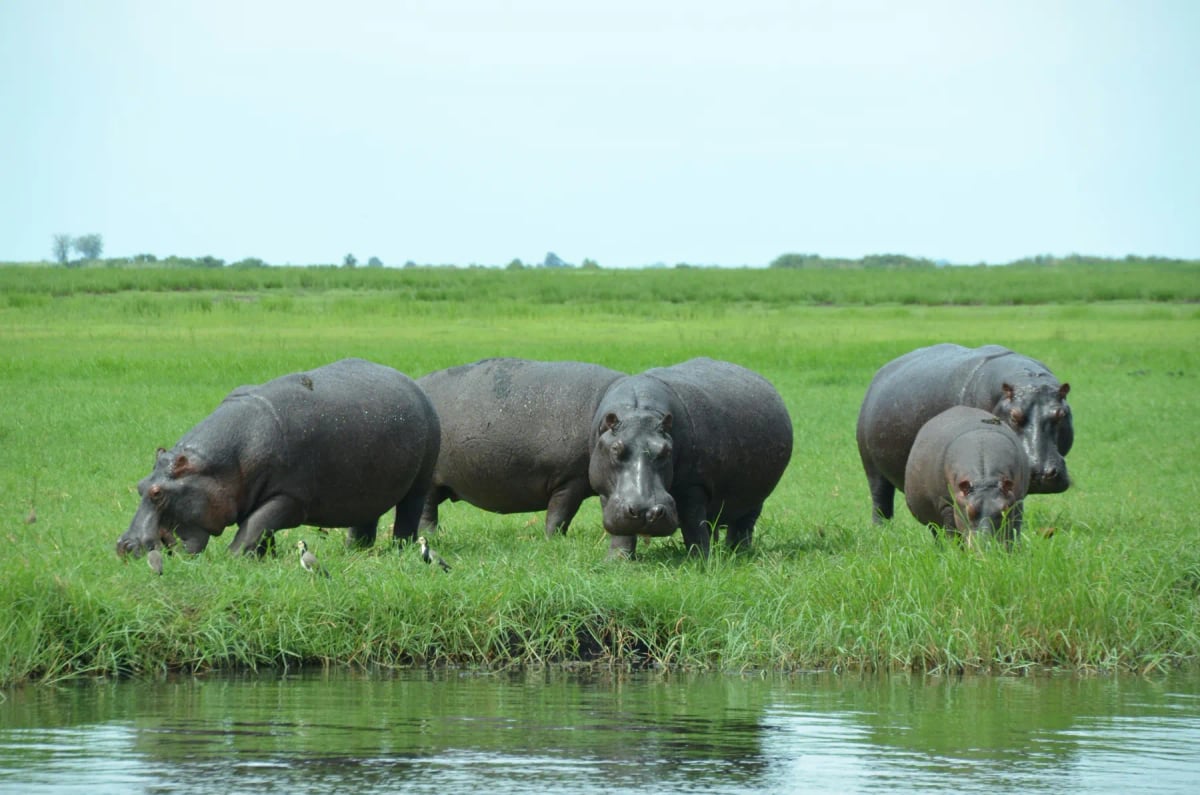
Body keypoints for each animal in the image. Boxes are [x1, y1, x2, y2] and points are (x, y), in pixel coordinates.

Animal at [115, 358, 441, 559]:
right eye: (140, 485)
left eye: (157, 493)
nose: (123, 546)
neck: (214, 466)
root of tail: (415, 386)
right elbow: (262, 530)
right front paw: (263, 558)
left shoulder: (290, 497)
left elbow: (254, 526)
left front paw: (232, 558)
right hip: (368, 486)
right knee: (364, 520)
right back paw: (353, 551)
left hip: (418, 485)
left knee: (407, 515)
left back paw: (399, 549)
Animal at [417, 358, 625, 537]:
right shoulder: (571, 480)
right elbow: (559, 515)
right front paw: (553, 540)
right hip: (431, 482)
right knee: (426, 512)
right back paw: (430, 535)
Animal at [588, 357, 793, 559]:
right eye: (615, 448)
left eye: (666, 450)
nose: (647, 511)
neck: (639, 412)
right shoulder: (608, 493)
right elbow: (621, 532)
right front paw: (616, 562)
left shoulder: (693, 486)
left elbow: (693, 525)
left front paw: (700, 561)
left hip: (755, 498)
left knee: (742, 526)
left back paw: (738, 554)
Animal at [856, 343, 1072, 523]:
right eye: (1014, 415)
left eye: (1061, 414)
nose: (1041, 472)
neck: (1027, 380)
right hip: (871, 466)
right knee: (880, 501)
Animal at [904, 406, 1031, 542]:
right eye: (969, 511)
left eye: (1004, 510)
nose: (986, 545)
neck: (984, 481)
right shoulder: (947, 506)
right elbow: (952, 534)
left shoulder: (1017, 501)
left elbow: (1014, 533)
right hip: (932, 521)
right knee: (937, 534)